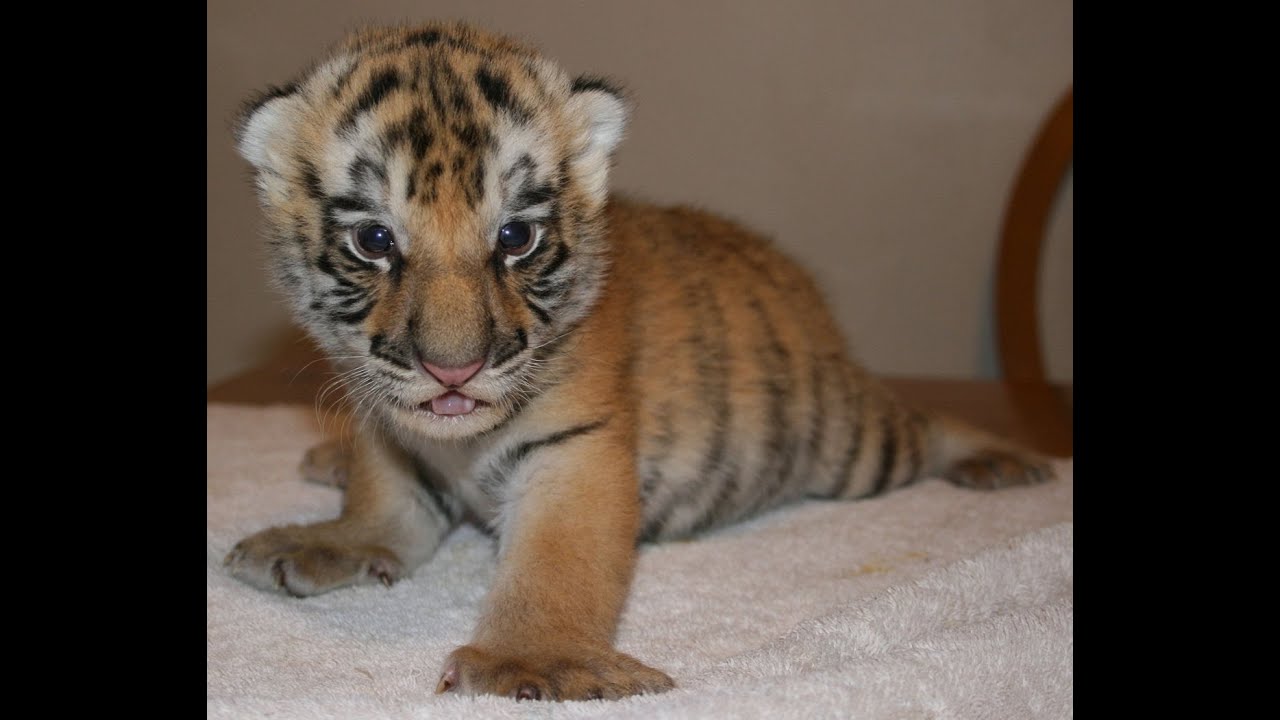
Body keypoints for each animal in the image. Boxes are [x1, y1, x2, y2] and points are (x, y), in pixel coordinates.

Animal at [222, 21, 1055, 702]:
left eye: (516, 238)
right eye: (375, 241)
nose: (452, 371)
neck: (457, 442)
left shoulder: (576, 446)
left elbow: (559, 559)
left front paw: (534, 662)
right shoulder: (385, 424)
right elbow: (384, 499)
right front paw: (336, 538)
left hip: (851, 445)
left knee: (923, 423)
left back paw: (1007, 460)